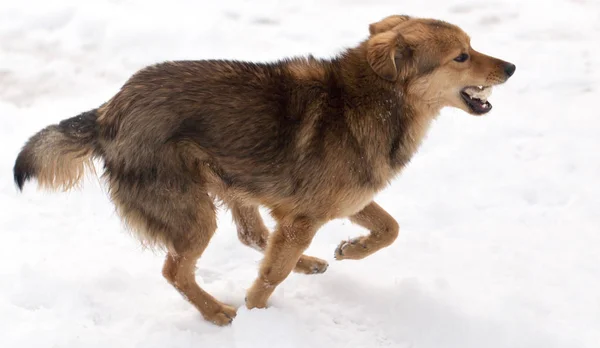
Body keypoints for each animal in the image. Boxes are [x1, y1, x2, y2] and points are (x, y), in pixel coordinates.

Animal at [12, 15, 516, 326]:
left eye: (471, 47)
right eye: (461, 56)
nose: (512, 67)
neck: (378, 99)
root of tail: (108, 112)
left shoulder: (335, 203)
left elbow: (389, 228)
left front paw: (351, 248)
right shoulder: (305, 216)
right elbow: (271, 277)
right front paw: (256, 314)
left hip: (232, 182)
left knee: (253, 235)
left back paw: (306, 262)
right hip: (193, 210)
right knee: (177, 270)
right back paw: (216, 313)